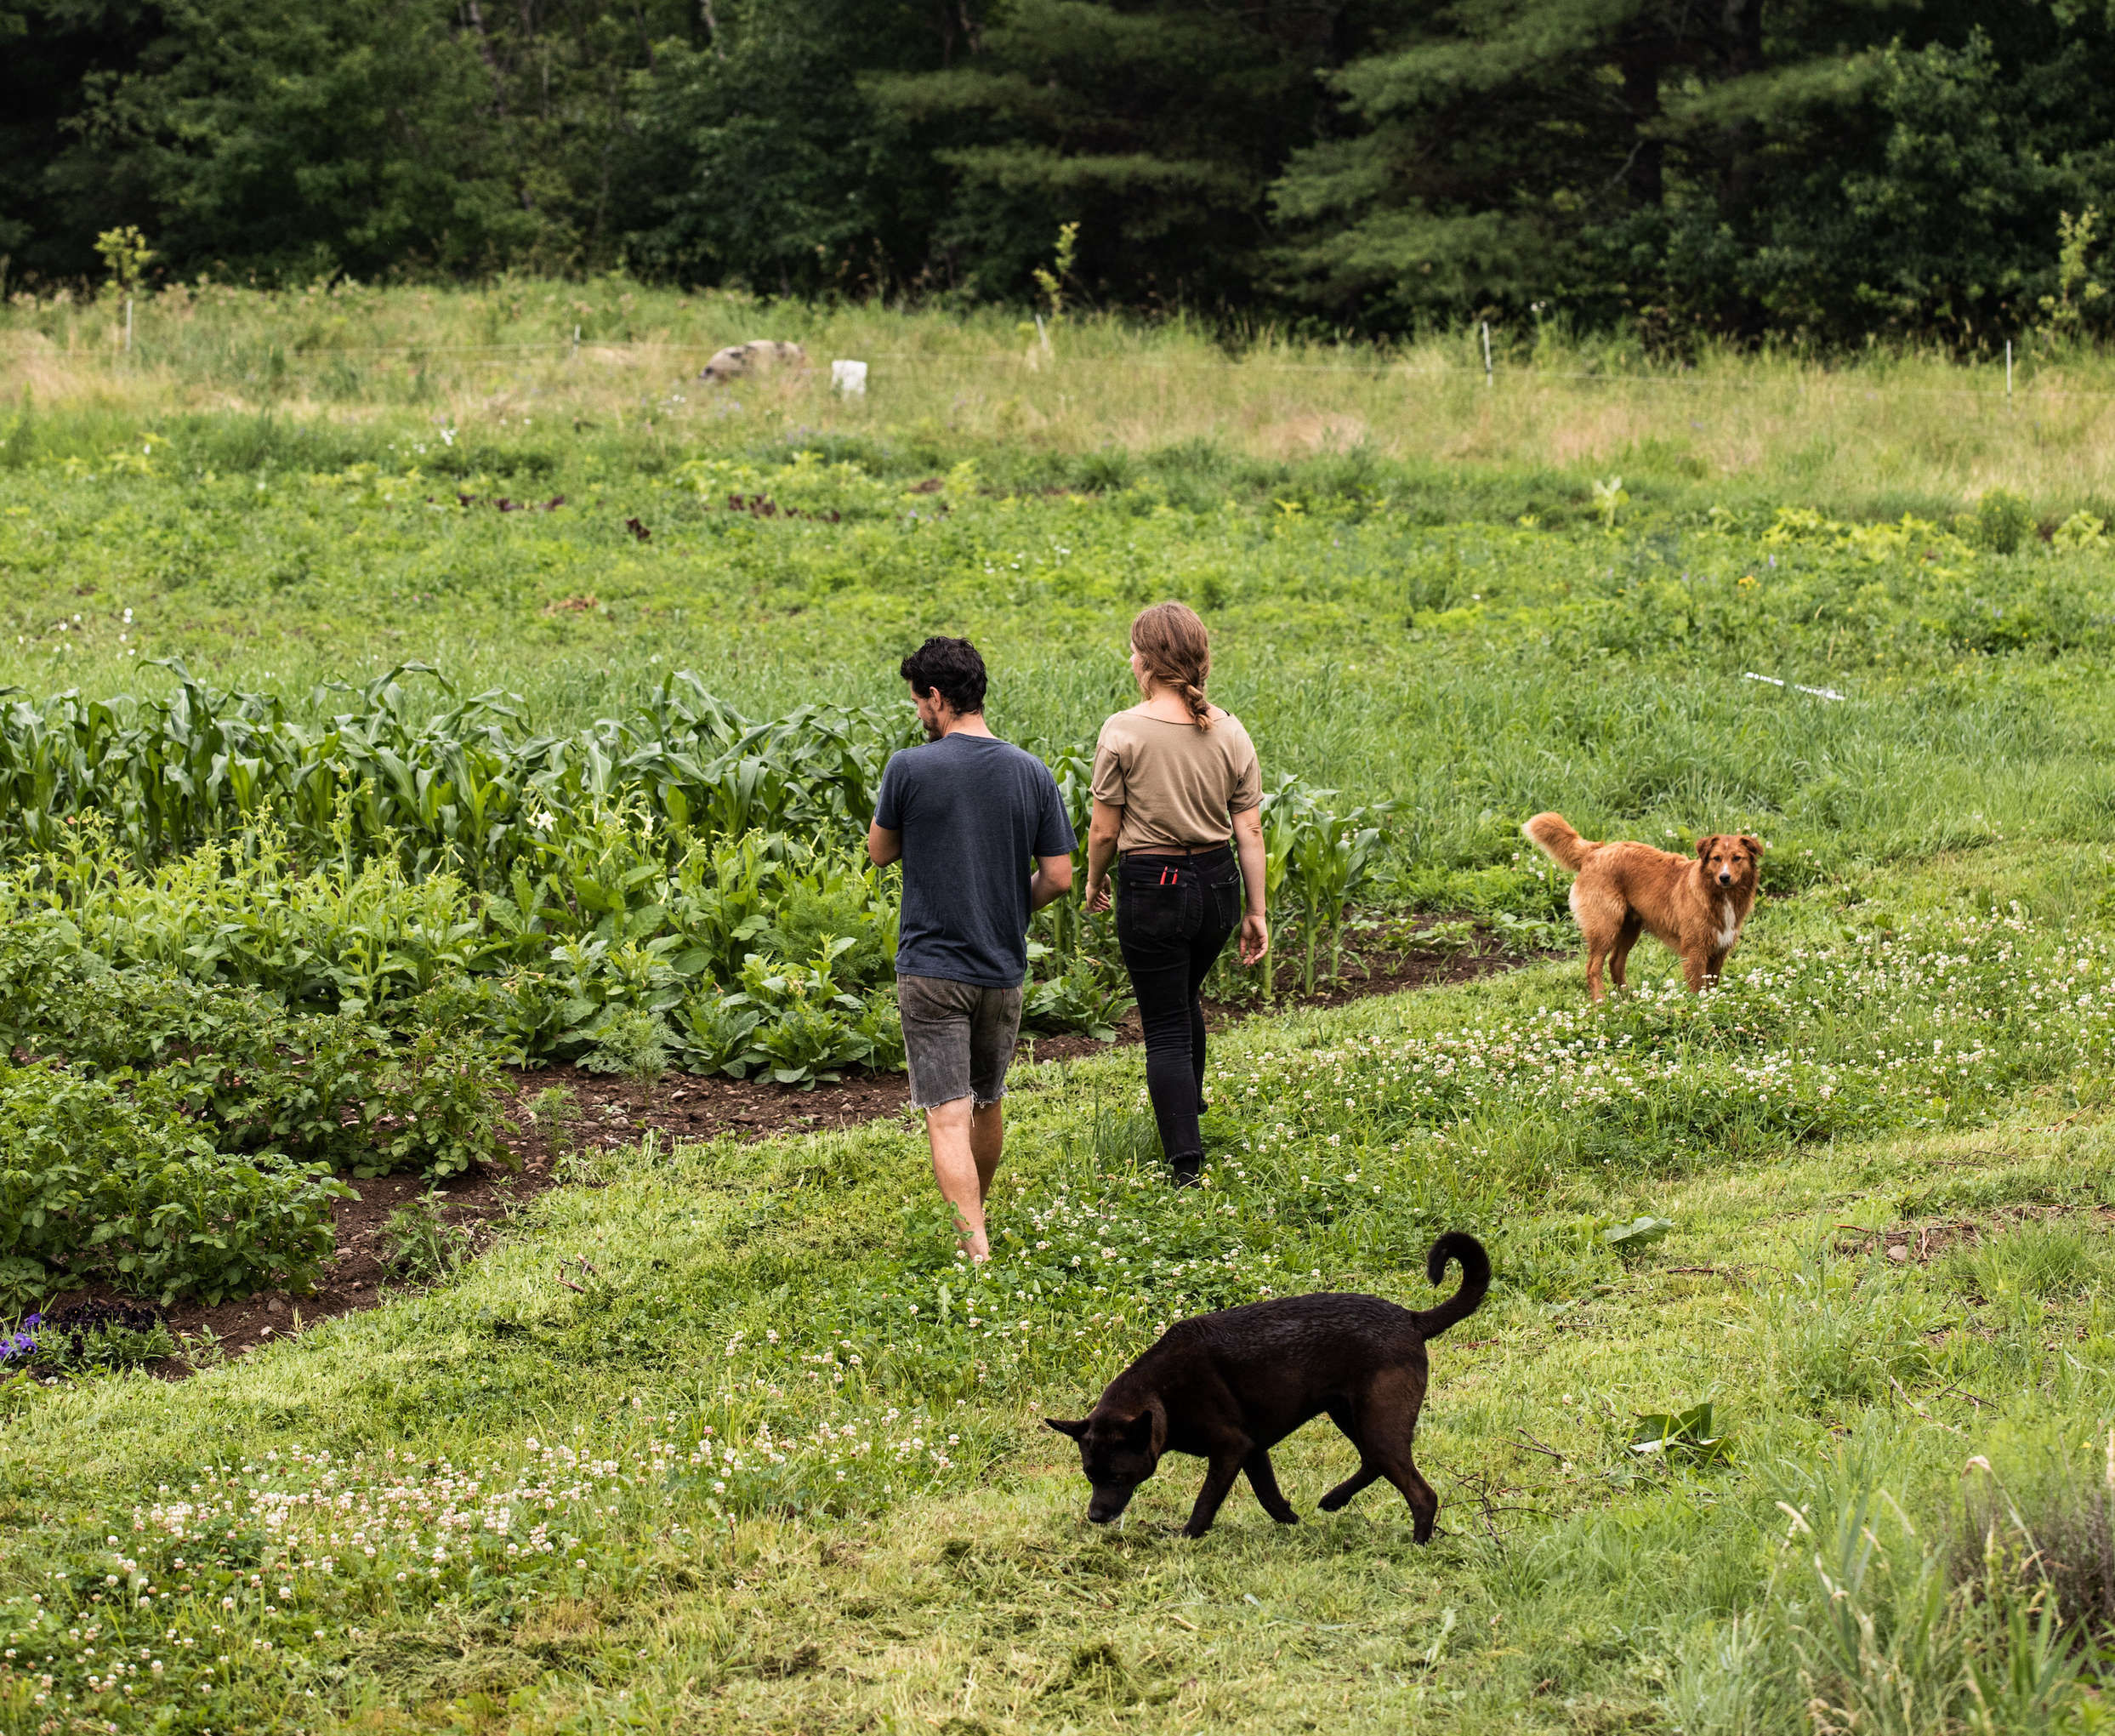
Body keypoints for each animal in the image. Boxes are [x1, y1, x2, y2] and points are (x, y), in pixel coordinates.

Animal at [1044, 1226, 1488, 1539]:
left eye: (1118, 1477)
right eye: (1089, 1475)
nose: (1095, 1516)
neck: (1162, 1392)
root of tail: (1411, 1319)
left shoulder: (1230, 1447)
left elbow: (1206, 1501)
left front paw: (1186, 1536)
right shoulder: (1253, 1449)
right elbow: (1268, 1495)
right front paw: (1291, 1520)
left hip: (1380, 1422)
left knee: (1420, 1493)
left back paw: (1418, 1544)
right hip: (1352, 1415)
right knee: (1371, 1463)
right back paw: (1334, 1500)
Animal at [1531, 811, 1760, 1002]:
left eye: (1737, 858)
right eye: (1716, 858)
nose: (1724, 877)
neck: (1717, 895)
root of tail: (1595, 851)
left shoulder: (1719, 951)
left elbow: (1711, 985)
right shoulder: (1695, 951)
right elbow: (1697, 988)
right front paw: (1699, 1009)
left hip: (1630, 928)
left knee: (1615, 962)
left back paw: (1627, 998)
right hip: (1605, 927)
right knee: (1593, 967)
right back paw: (1600, 1002)